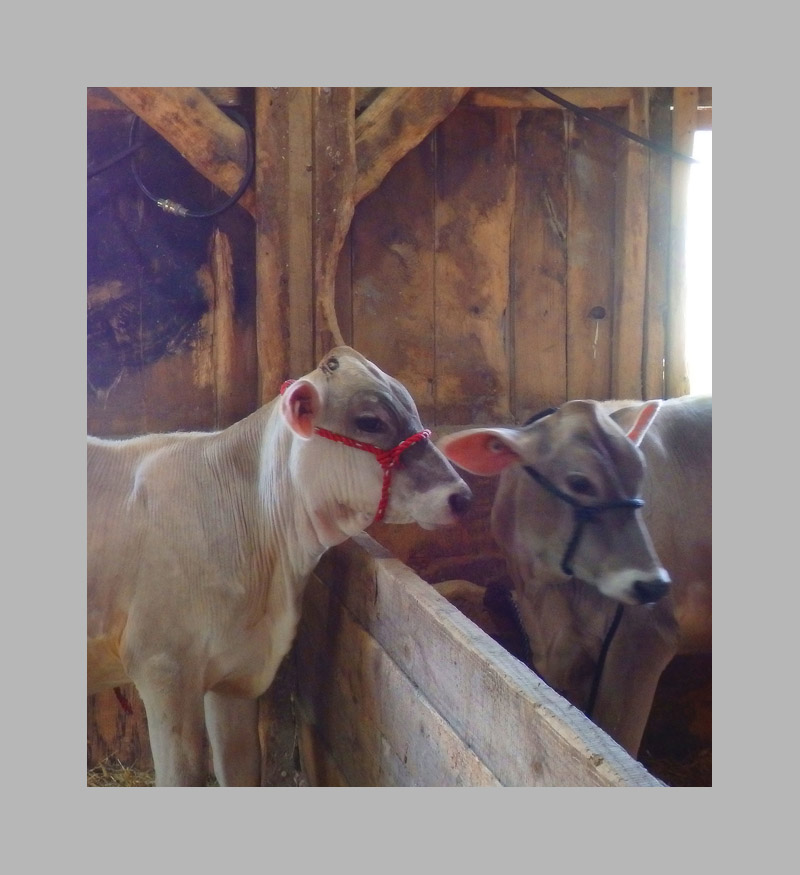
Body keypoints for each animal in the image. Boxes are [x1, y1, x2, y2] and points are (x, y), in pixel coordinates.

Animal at [88, 346, 473, 786]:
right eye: (370, 421)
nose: (462, 497)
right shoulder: (163, 666)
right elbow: (183, 775)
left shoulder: (236, 675)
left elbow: (241, 767)